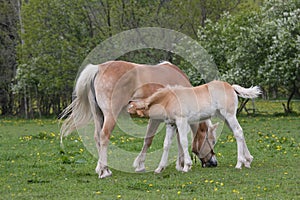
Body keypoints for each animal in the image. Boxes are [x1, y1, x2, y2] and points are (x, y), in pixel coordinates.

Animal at [127, 80, 262, 171]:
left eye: (132, 108)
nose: (126, 111)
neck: (169, 99)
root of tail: (231, 87)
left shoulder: (181, 121)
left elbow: (183, 141)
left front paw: (186, 166)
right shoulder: (171, 124)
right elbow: (166, 144)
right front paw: (160, 168)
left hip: (229, 115)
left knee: (238, 132)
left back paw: (239, 163)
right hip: (225, 117)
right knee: (239, 133)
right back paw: (248, 161)